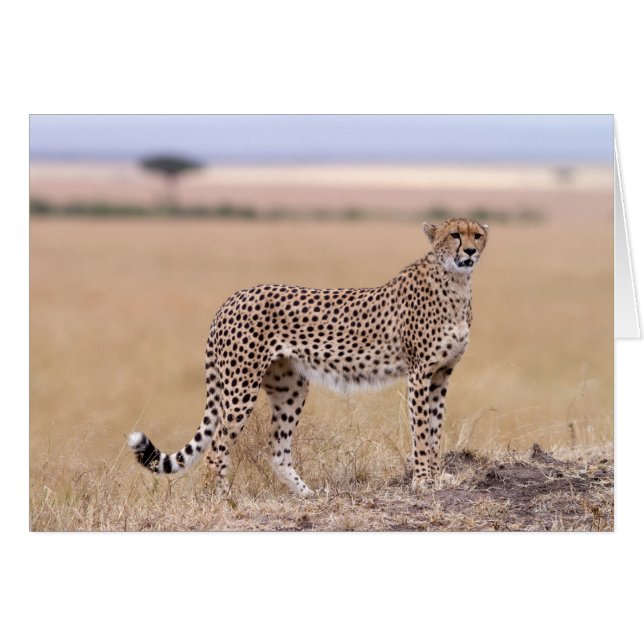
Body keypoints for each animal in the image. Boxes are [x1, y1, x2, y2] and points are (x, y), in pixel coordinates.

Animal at [128, 218, 488, 496]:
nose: (470, 252)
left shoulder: (441, 374)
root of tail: (232, 298)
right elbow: (422, 431)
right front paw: (423, 481)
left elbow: (435, 427)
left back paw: (306, 495)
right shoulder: (419, 374)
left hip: (290, 387)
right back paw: (220, 500)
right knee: (217, 447)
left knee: (277, 450)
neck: (456, 283)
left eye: (477, 235)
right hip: (241, 386)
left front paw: (439, 476)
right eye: (455, 235)